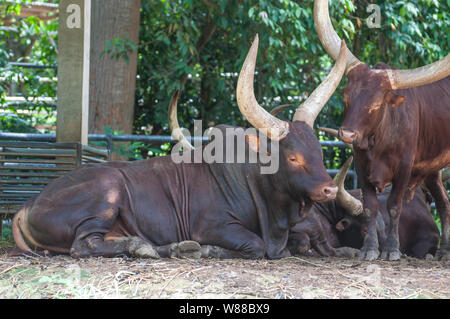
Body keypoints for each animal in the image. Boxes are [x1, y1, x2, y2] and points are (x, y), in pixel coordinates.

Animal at [12, 35, 346, 260]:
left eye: (318, 152)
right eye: (293, 157)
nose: (330, 189)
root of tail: (27, 205)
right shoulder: (216, 226)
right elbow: (256, 245)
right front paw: (210, 250)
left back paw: (170, 247)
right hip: (107, 190)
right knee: (83, 246)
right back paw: (145, 247)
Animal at [312, 0, 450, 262]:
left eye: (376, 104)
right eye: (346, 96)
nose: (347, 135)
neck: (381, 141)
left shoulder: (404, 168)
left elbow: (394, 206)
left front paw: (392, 249)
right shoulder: (361, 165)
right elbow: (370, 207)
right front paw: (369, 249)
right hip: (432, 169)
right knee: (444, 202)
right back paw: (445, 252)